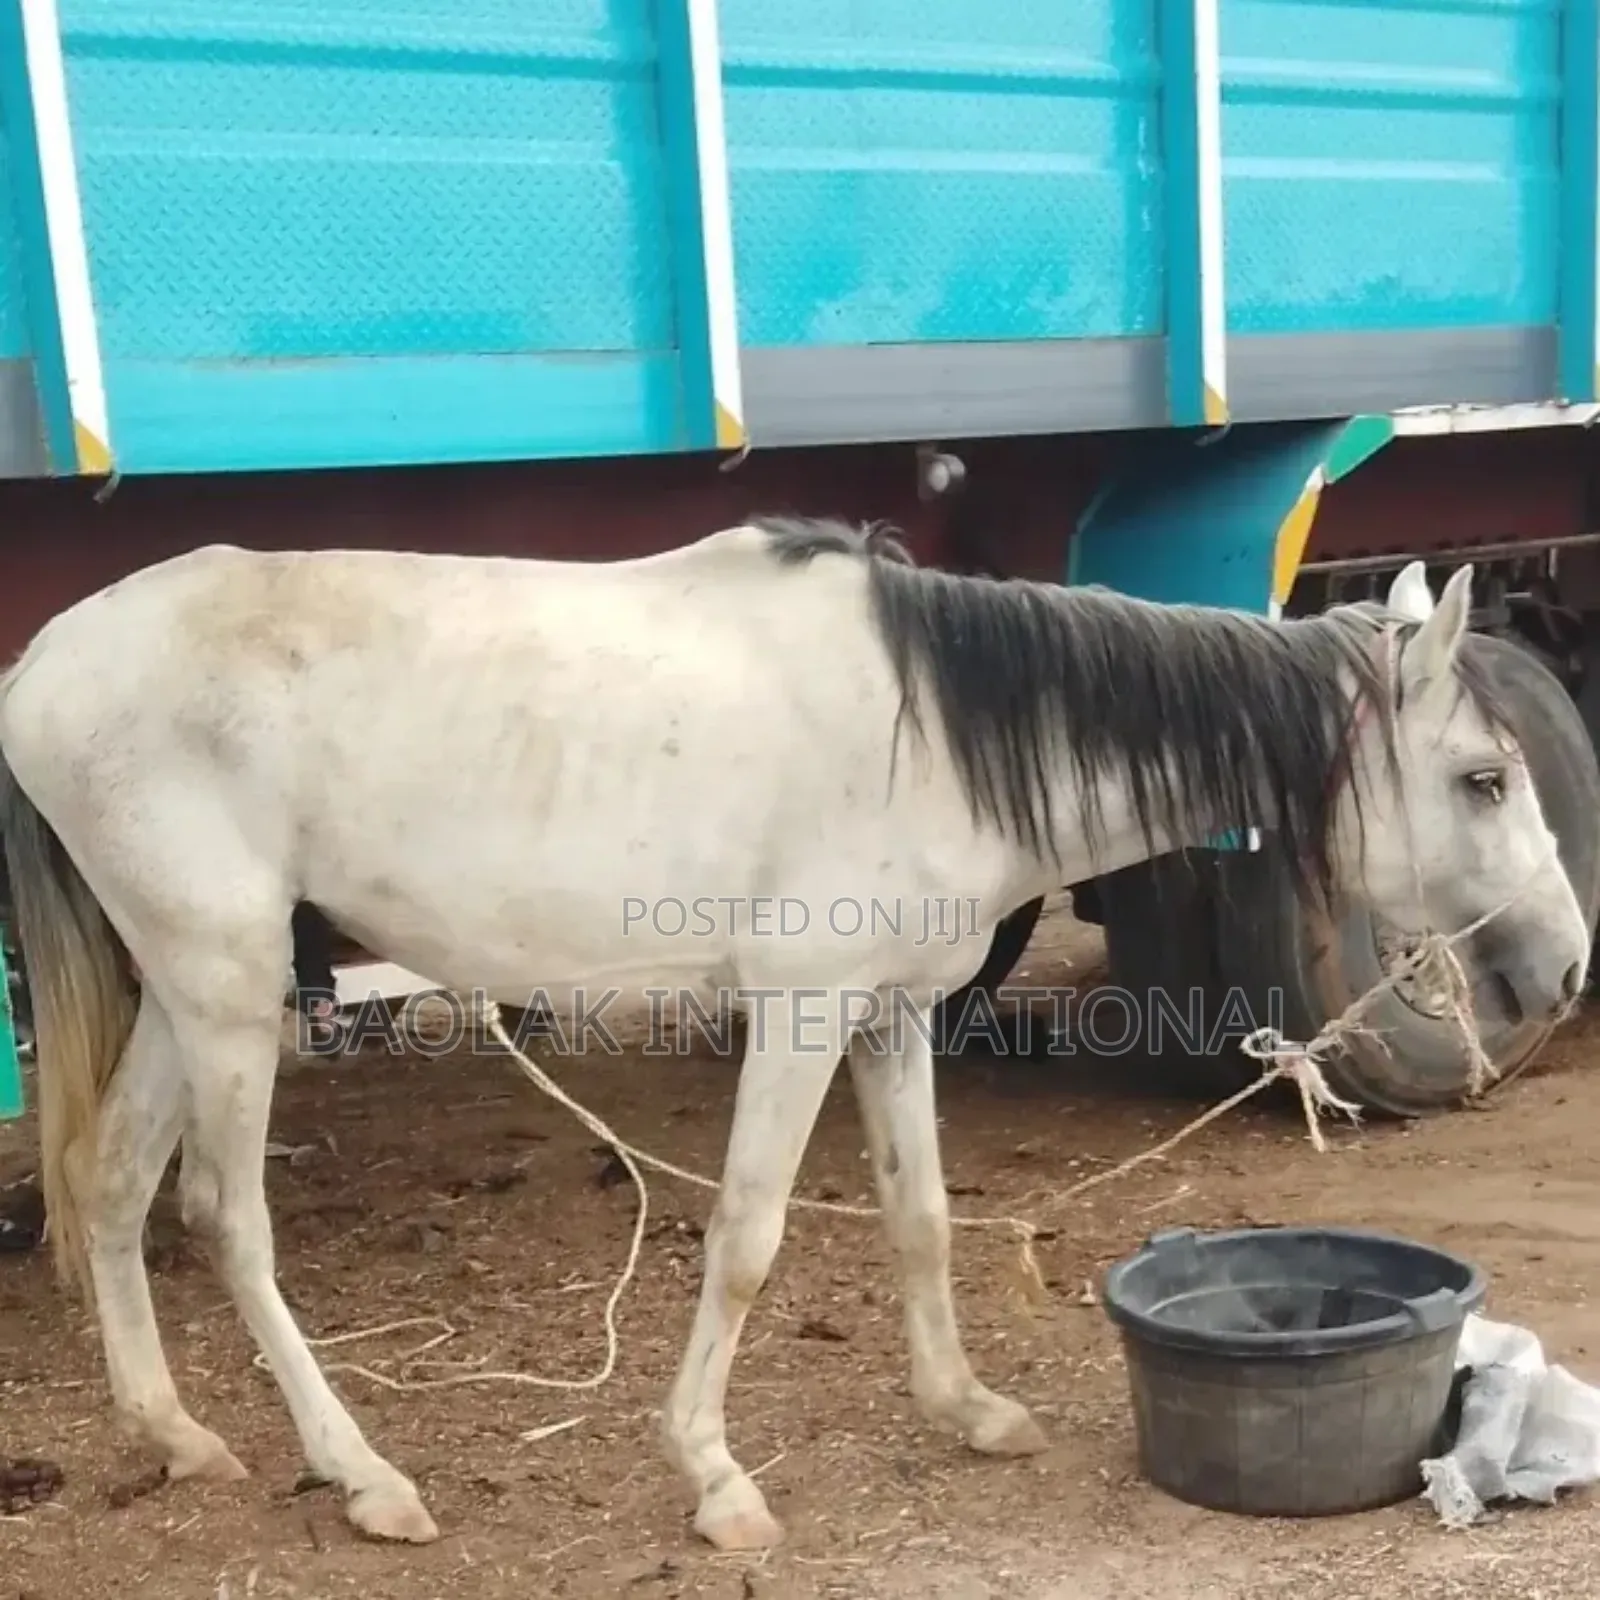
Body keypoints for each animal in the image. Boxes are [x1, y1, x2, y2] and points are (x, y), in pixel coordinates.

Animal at [0, 520, 1586, 1554]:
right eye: (1484, 777)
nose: (1565, 965)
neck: (930, 731)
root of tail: (43, 670)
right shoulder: (803, 1010)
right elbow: (751, 1236)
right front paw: (712, 1479)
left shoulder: (891, 1016)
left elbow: (921, 1217)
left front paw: (963, 1407)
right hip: (224, 987)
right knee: (227, 1219)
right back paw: (361, 1473)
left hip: (191, 983)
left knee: (112, 1186)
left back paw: (173, 1435)